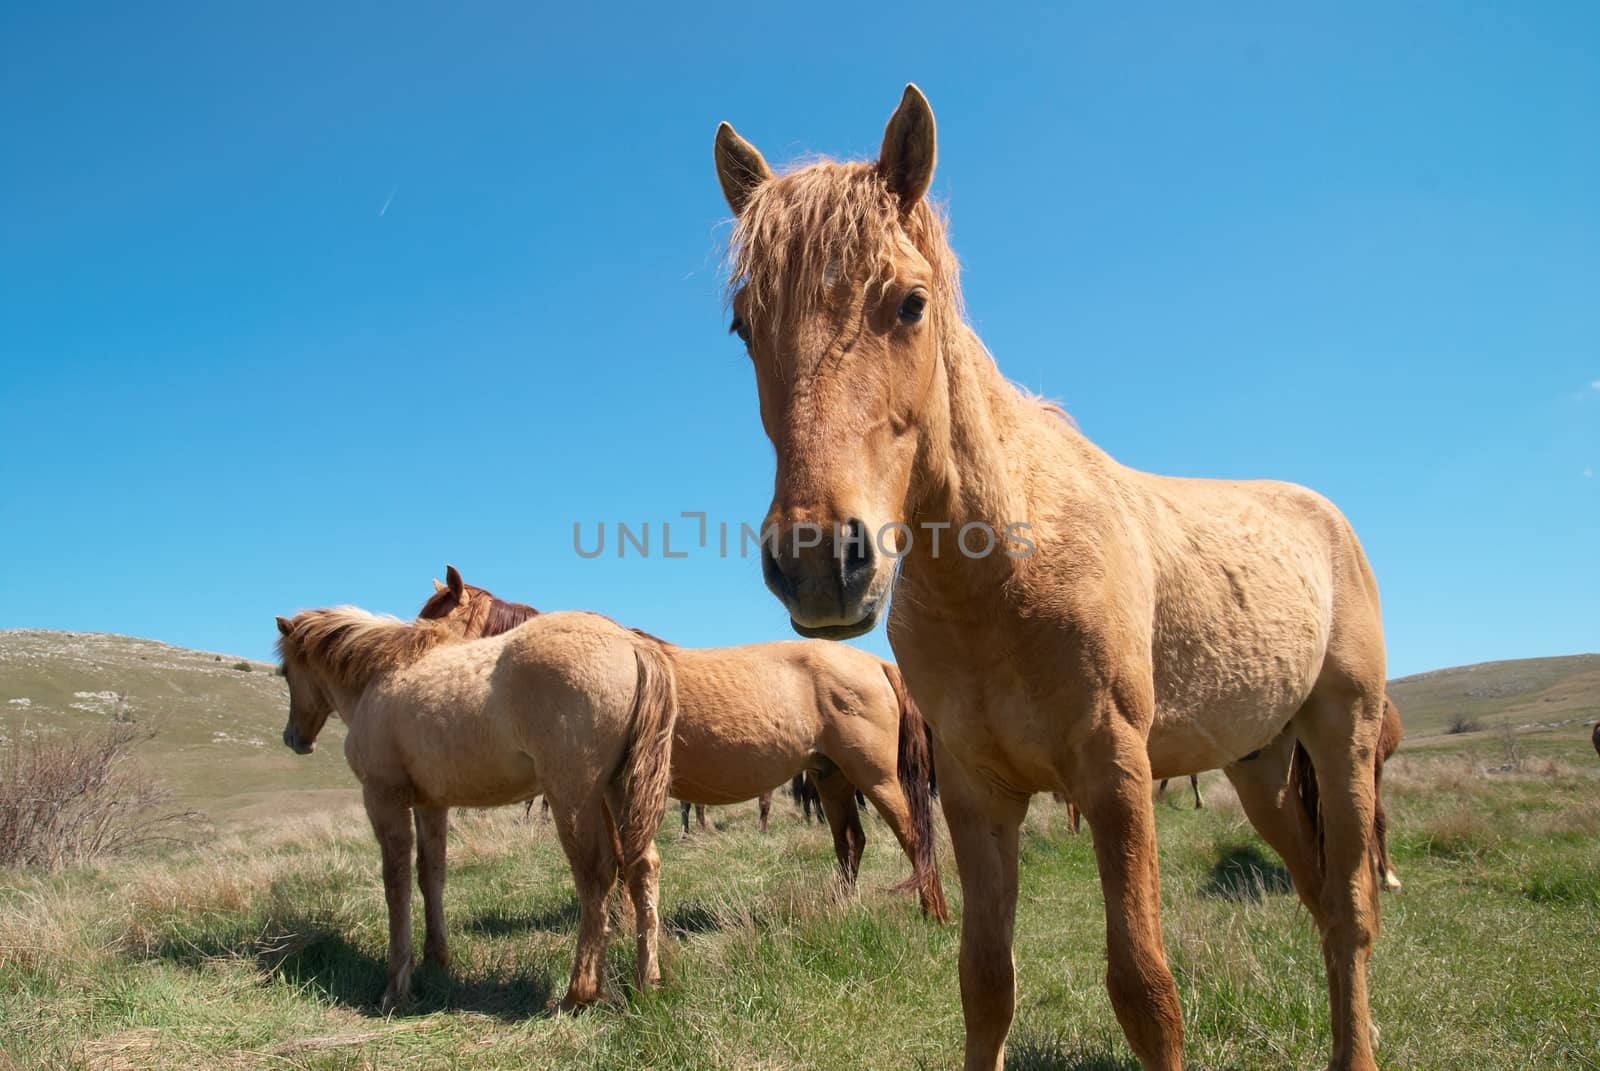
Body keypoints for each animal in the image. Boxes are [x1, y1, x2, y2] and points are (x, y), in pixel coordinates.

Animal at [275, 608, 675, 1011]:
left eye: (286, 671)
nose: (293, 738)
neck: (379, 676)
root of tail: (629, 642)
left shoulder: (383, 798)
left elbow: (395, 884)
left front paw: (396, 985)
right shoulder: (430, 804)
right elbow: (430, 874)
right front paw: (435, 958)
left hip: (573, 797)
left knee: (596, 874)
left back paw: (580, 991)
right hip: (618, 792)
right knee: (643, 867)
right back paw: (647, 982)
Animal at [412, 563, 947, 922]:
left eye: (429, 627)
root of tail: (877, 664)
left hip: (874, 776)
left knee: (914, 836)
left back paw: (934, 915)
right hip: (830, 776)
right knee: (850, 841)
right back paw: (841, 909)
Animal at [720, 85, 1395, 1069]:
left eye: (910, 303)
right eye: (744, 326)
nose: (817, 562)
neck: (1003, 572)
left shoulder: (1116, 775)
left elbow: (1146, 990)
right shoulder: (975, 792)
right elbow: (984, 983)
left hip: (1342, 734)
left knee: (1348, 909)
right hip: (1261, 763)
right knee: (1317, 898)